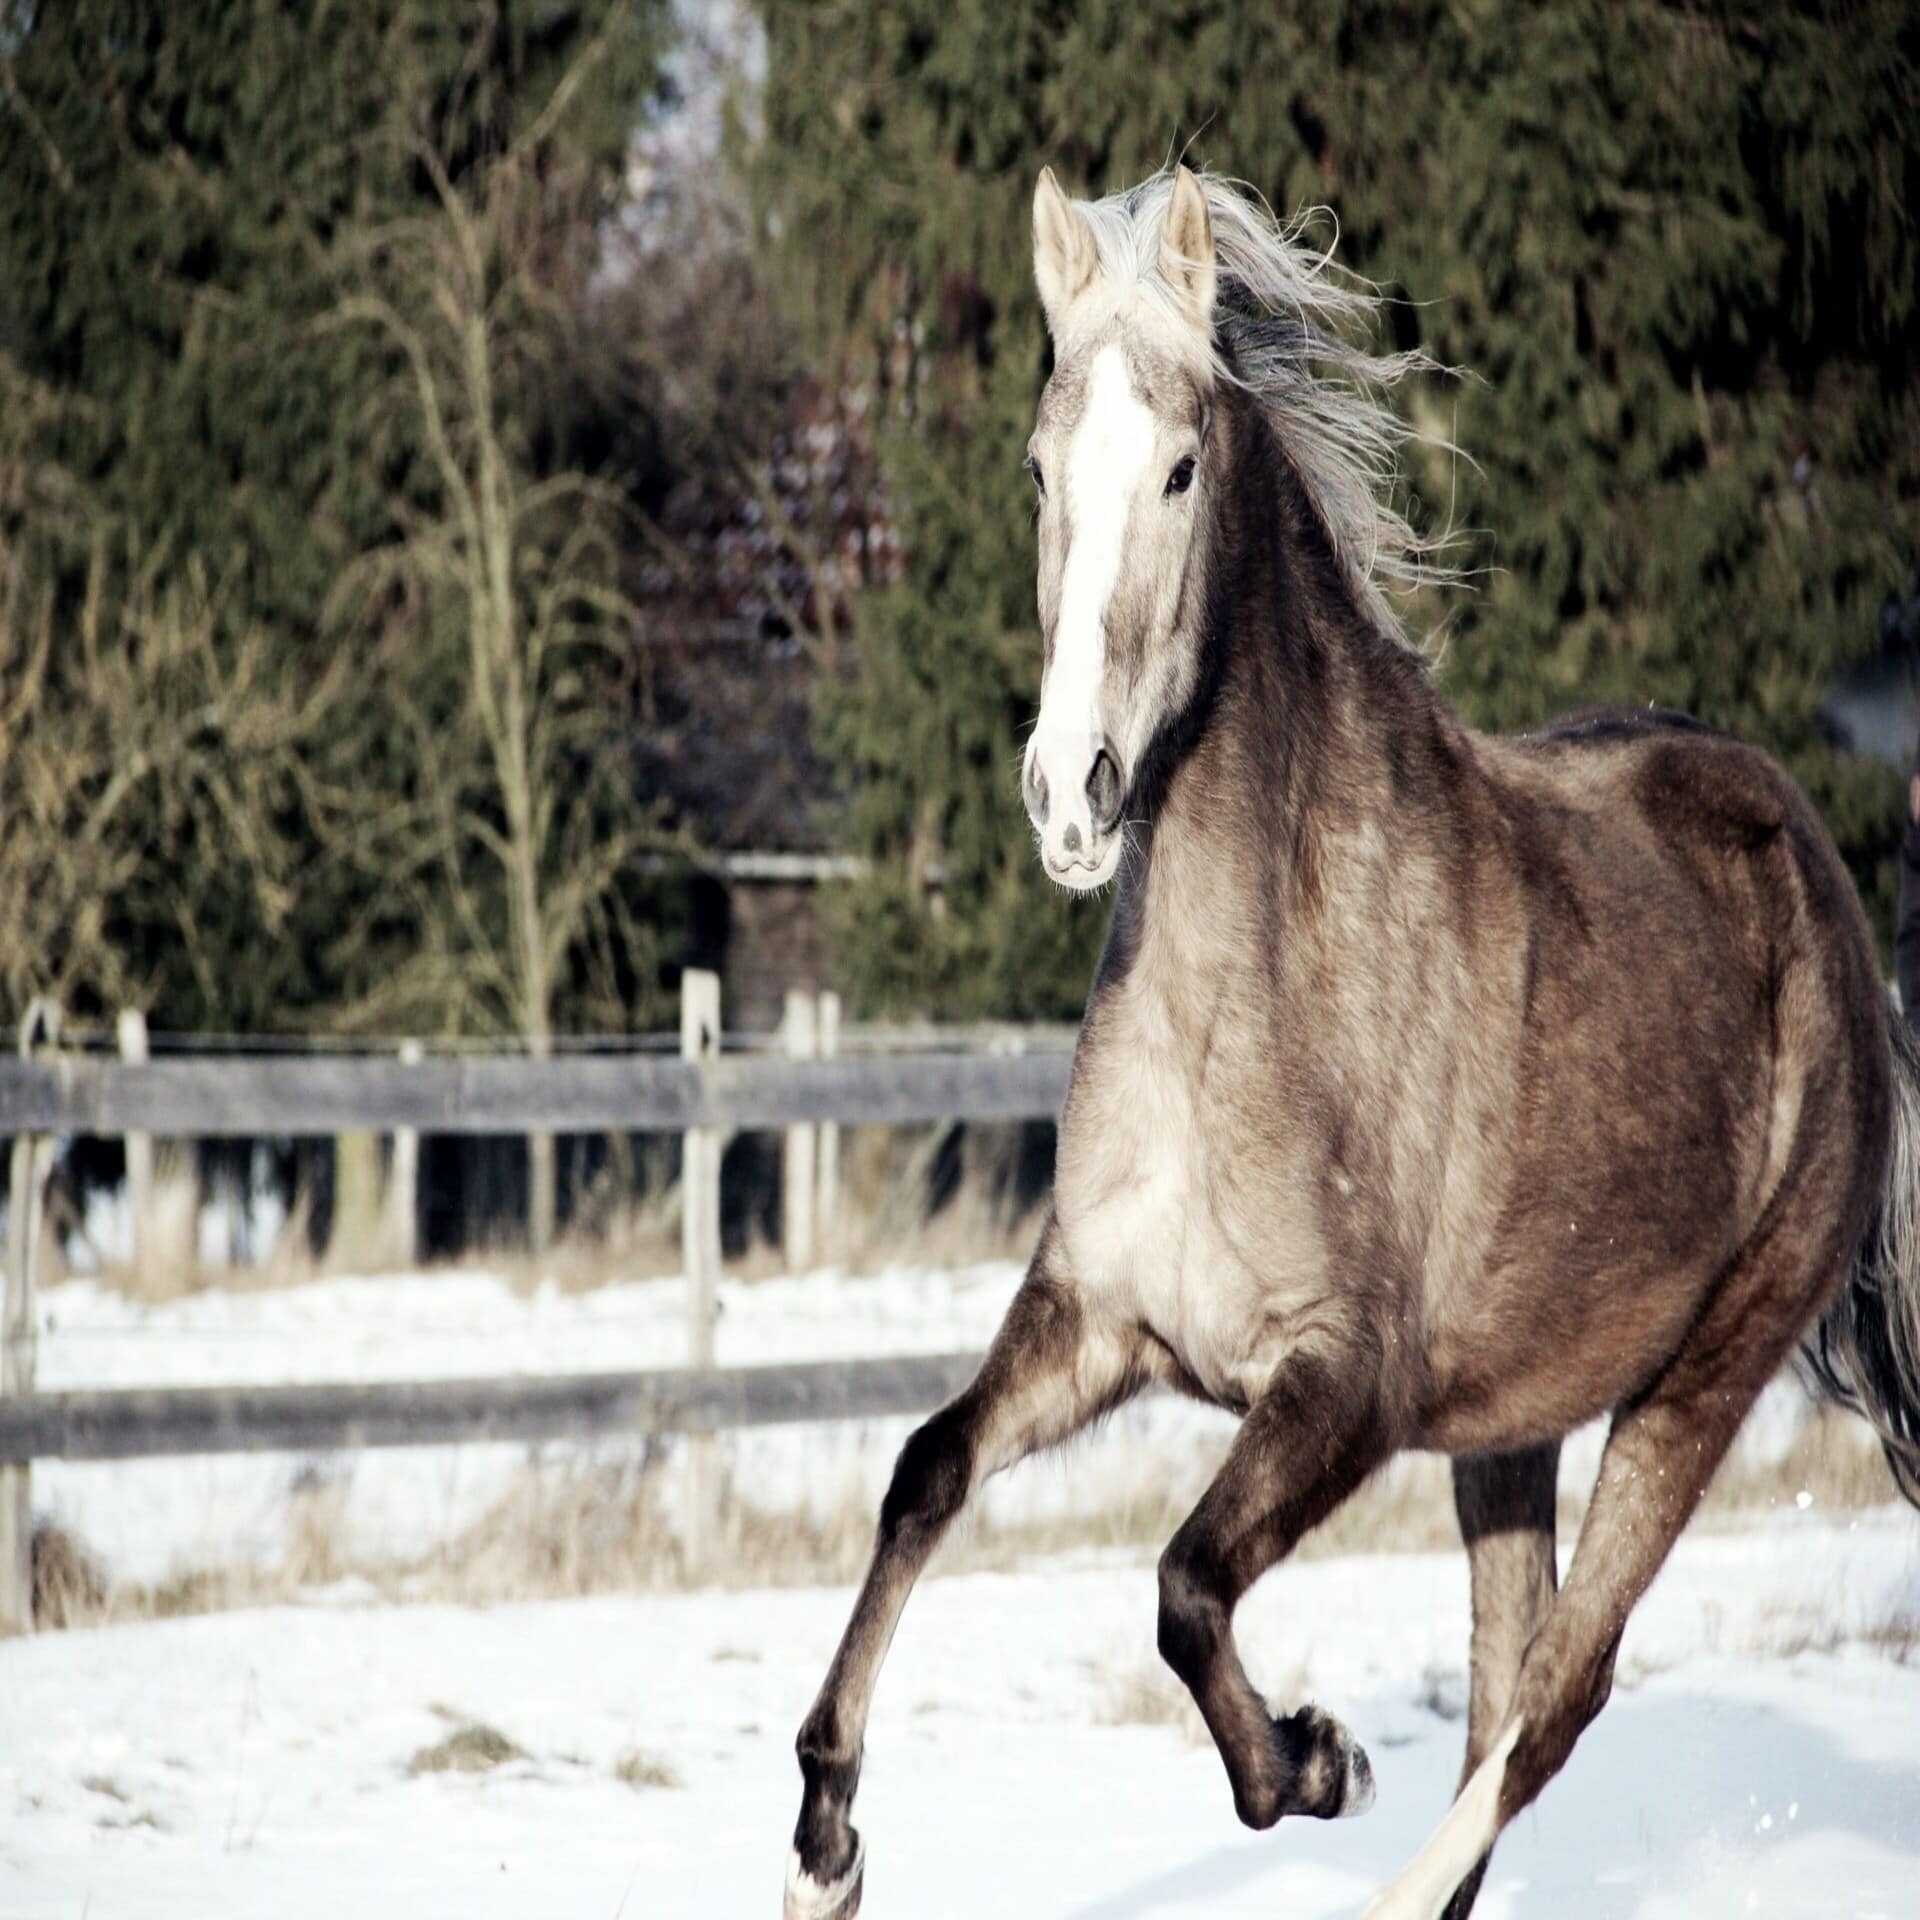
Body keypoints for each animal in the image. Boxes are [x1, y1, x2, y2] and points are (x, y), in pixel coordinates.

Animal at [779, 165, 1920, 1920]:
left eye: (1181, 466)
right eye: (1039, 463)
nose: (1070, 795)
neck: (1243, 1000)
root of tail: (1831, 907)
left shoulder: (1342, 1385)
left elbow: (1186, 1583)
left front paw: (1316, 1760)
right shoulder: (1100, 1317)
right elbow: (924, 1474)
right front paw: (825, 1846)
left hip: (1702, 1379)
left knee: (1557, 1697)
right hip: (1516, 1424)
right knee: (1513, 1678)